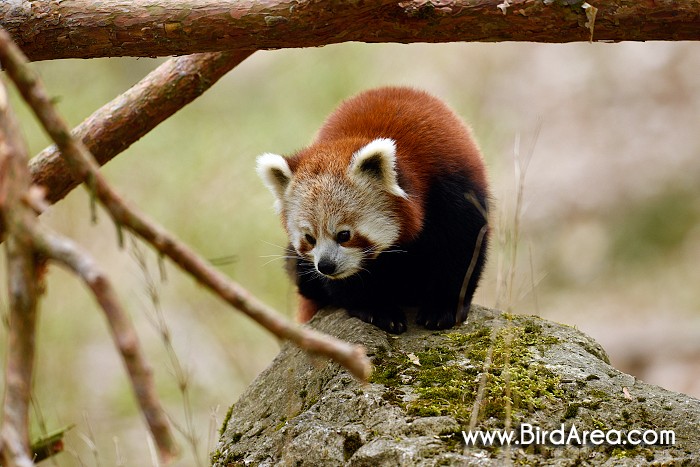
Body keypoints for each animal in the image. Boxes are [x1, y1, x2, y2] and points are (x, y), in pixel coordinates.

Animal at [256, 88, 486, 334]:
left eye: (344, 235)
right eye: (309, 238)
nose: (326, 266)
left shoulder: (453, 188)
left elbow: (462, 248)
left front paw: (442, 308)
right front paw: (377, 310)